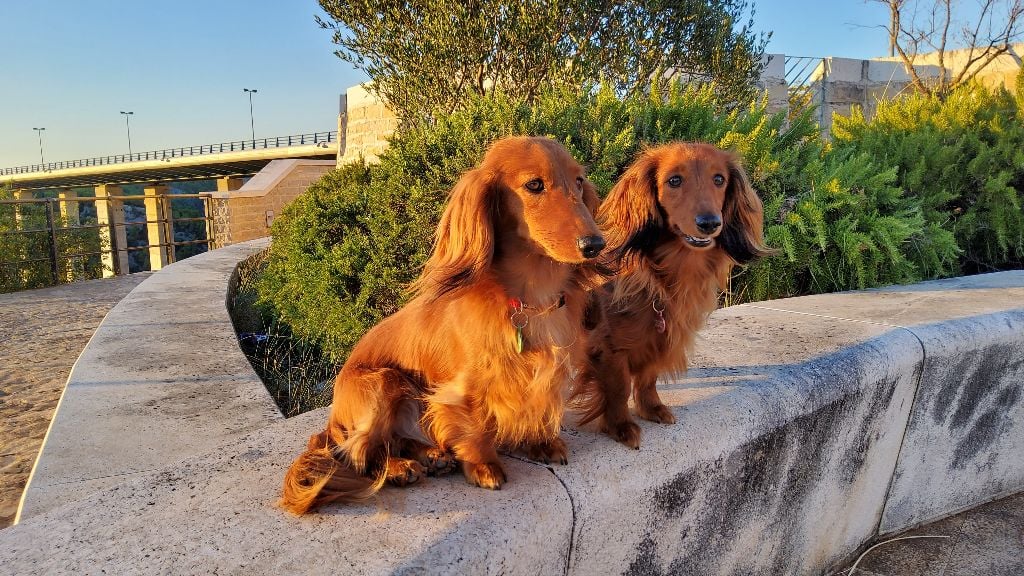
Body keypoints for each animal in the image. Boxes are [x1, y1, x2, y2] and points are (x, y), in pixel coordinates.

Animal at [278, 136, 606, 512]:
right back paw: (399, 468)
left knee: (395, 440)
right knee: (360, 455)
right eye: (534, 185)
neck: (531, 297)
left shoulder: (549, 372)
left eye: (579, 182)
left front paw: (541, 442)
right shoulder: (465, 386)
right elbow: (472, 423)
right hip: (384, 382)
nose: (595, 245)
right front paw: (483, 465)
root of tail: (332, 422)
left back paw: (431, 456)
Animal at [577, 141, 770, 446]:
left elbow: (648, 378)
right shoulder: (608, 347)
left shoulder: (661, 338)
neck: (663, 280)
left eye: (719, 179)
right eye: (674, 181)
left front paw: (651, 407)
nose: (709, 223)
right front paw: (621, 426)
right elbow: (618, 388)